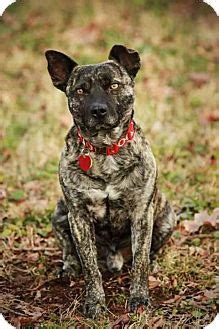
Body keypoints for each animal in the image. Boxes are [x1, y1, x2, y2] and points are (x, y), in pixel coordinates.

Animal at [45, 44, 176, 318]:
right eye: (80, 90)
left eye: (114, 85)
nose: (98, 110)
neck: (105, 149)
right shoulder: (79, 217)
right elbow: (90, 268)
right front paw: (95, 303)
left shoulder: (141, 214)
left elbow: (140, 262)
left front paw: (139, 299)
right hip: (60, 212)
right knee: (69, 248)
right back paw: (69, 268)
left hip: (167, 216)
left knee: (149, 253)